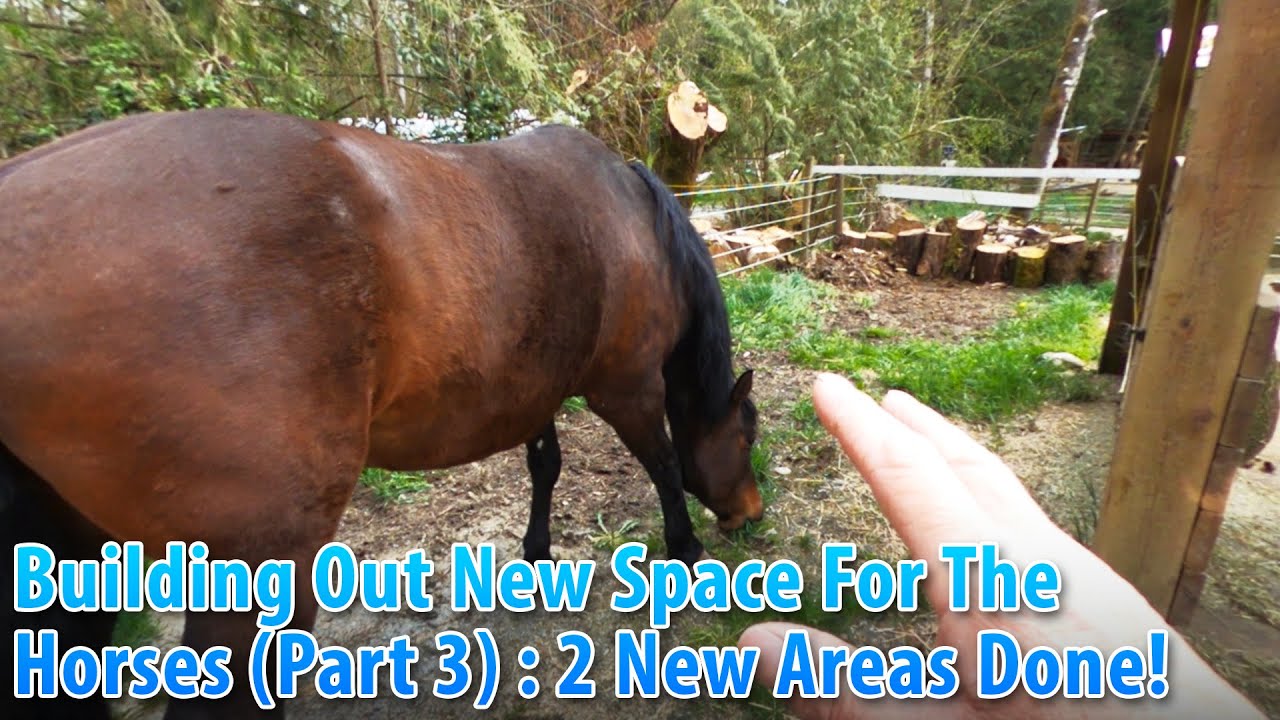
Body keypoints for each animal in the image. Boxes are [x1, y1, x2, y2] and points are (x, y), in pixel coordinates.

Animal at [0, 107, 763, 718]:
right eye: (746, 433)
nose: (751, 513)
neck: (631, 219)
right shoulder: (627, 388)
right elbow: (664, 465)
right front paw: (686, 552)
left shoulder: (535, 387)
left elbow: (545, 465)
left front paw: (537, 554)